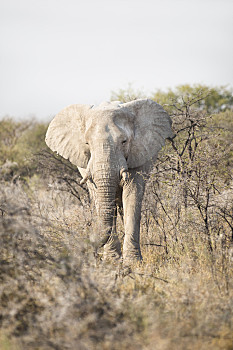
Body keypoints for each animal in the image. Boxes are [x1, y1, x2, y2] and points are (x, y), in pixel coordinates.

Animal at [45, 98, 173, 262]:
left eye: (124, 141)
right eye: (87, 143)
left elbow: (132, 195)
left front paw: (132, 262)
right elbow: (99, 198)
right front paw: (112, 260)